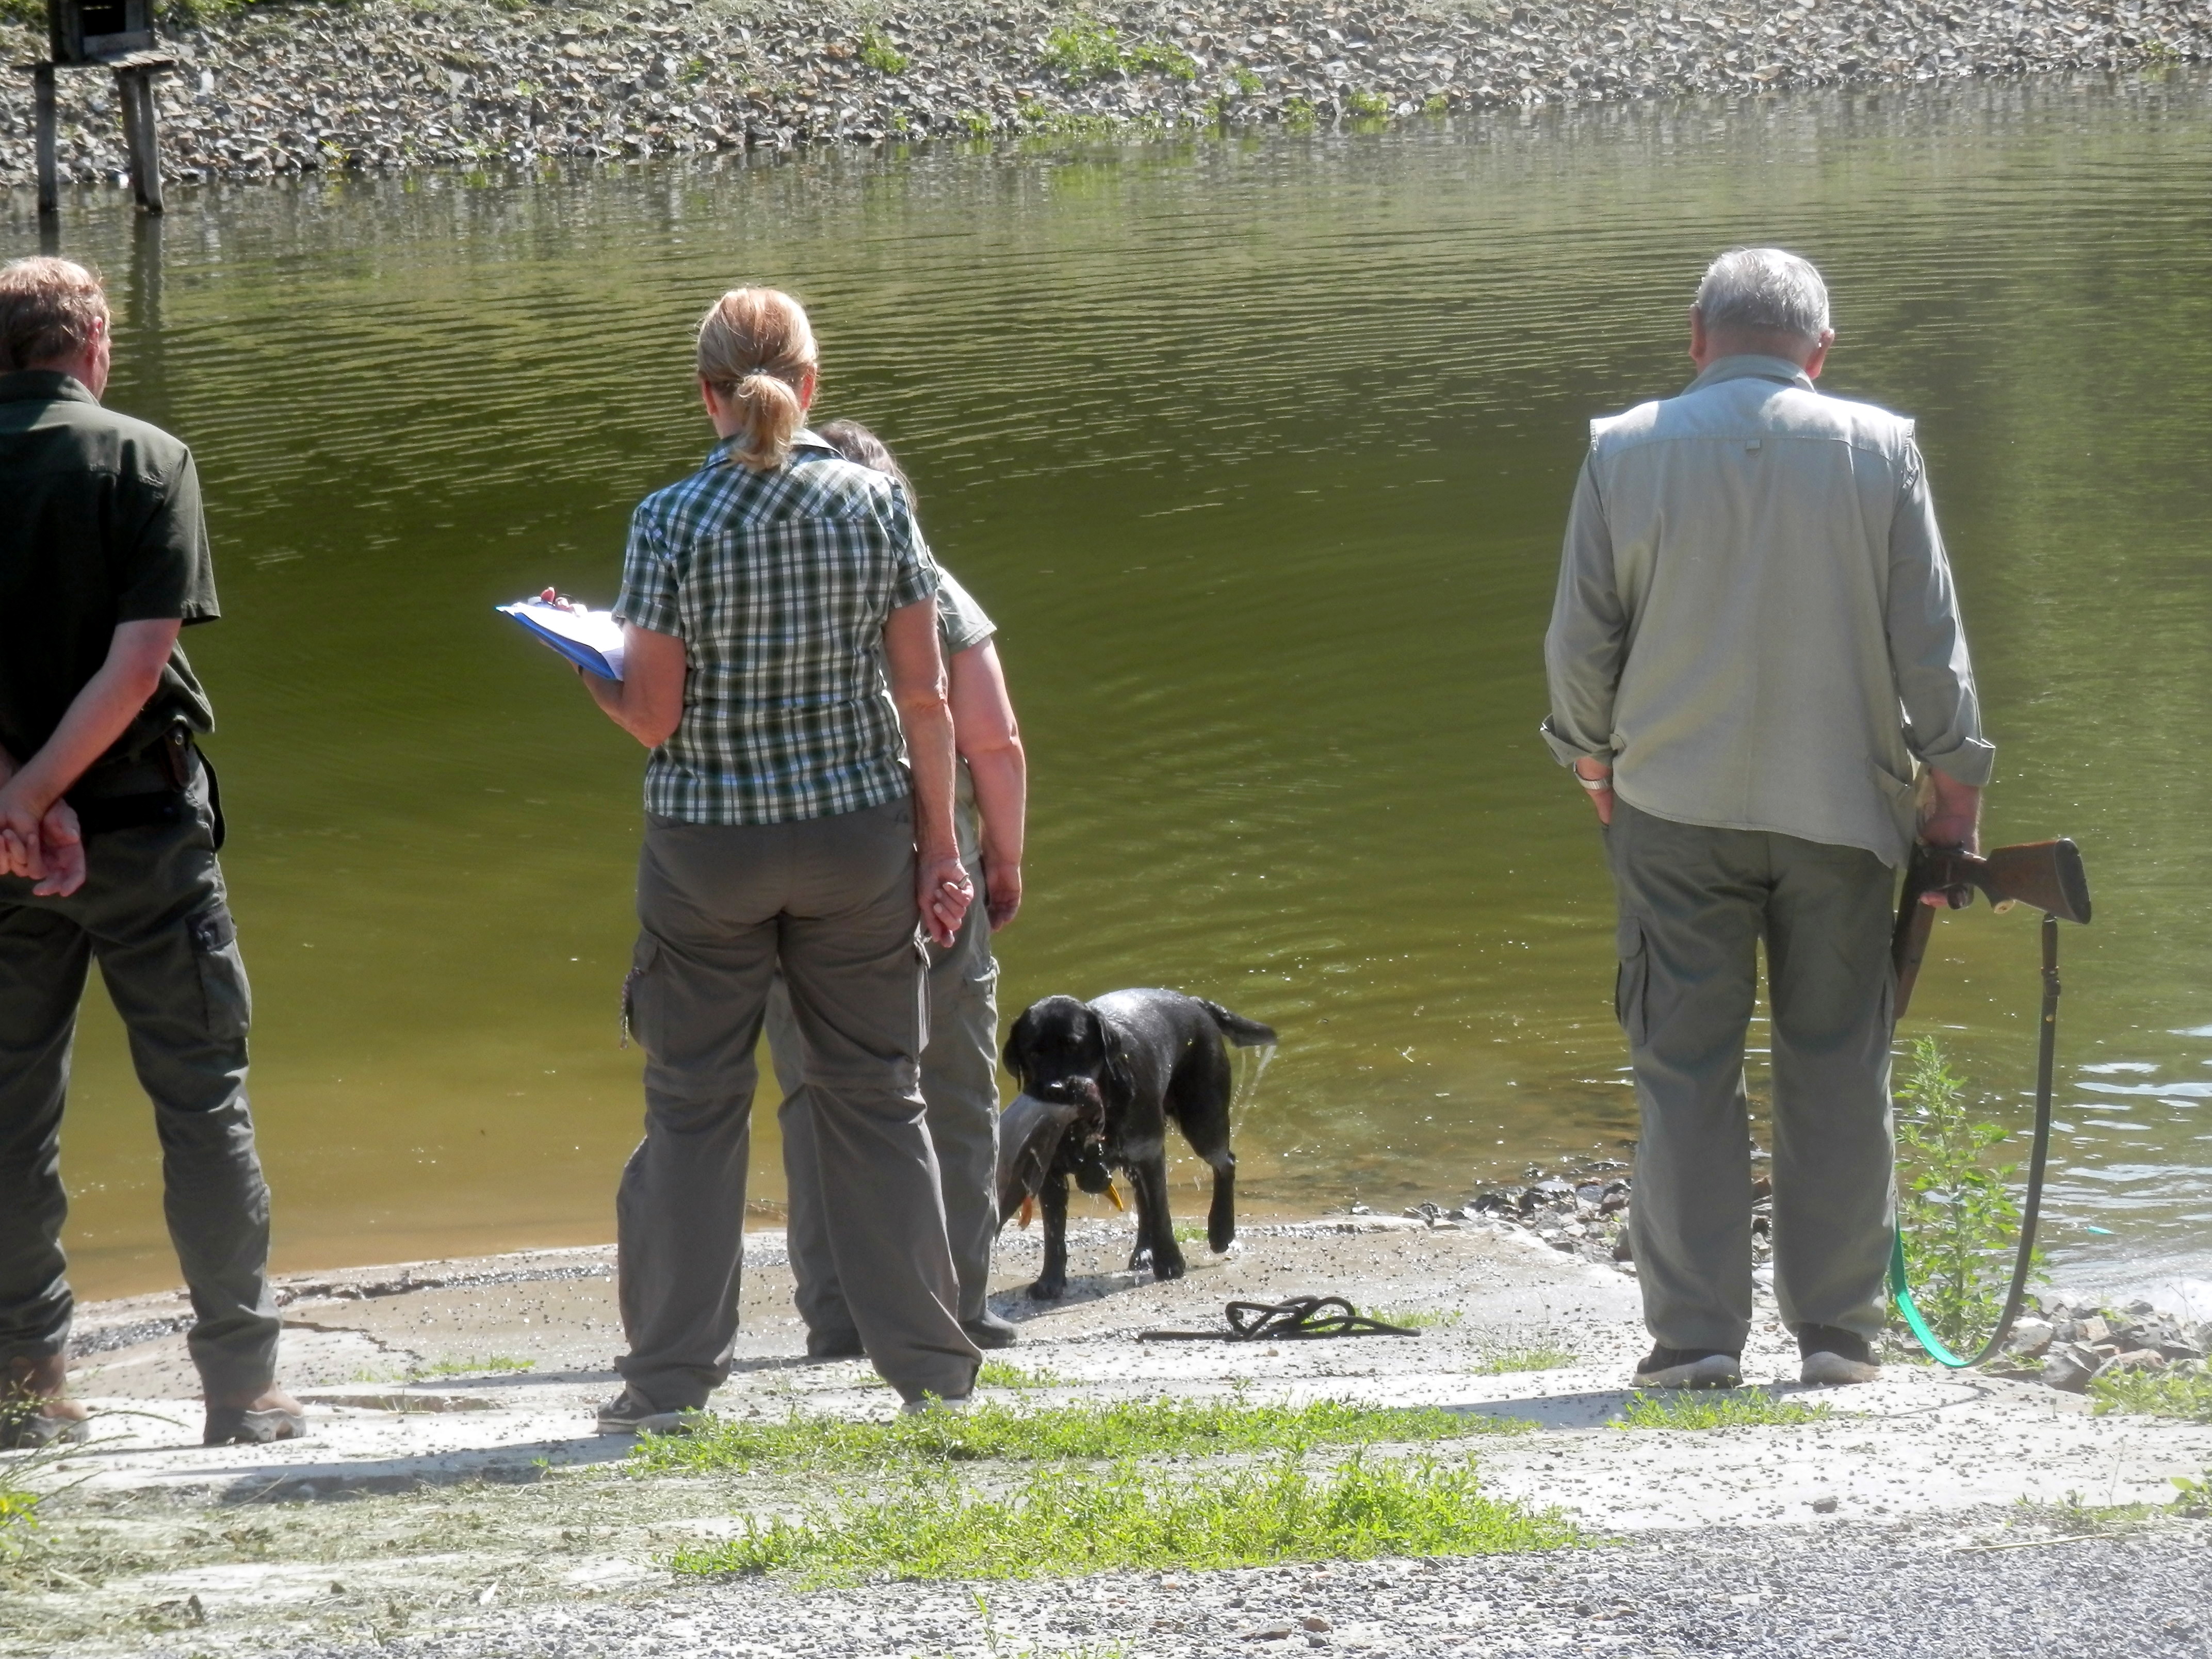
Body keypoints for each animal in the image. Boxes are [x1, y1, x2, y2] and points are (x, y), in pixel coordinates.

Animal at [1004, 986, 1283, 1300]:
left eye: (1075, 1046)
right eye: (1033, 1052)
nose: (1056, 1089)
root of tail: (1193, 1002)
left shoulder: (1150, 1152)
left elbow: (1161, 1212)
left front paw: (1170, 1263)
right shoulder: (1050, 1173)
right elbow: (1054, 1233)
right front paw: (1049, 1281)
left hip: (1203, 1121)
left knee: (1225, 1163)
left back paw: (1220, 1231)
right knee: (1143, 1196)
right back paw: (1144, 1250)